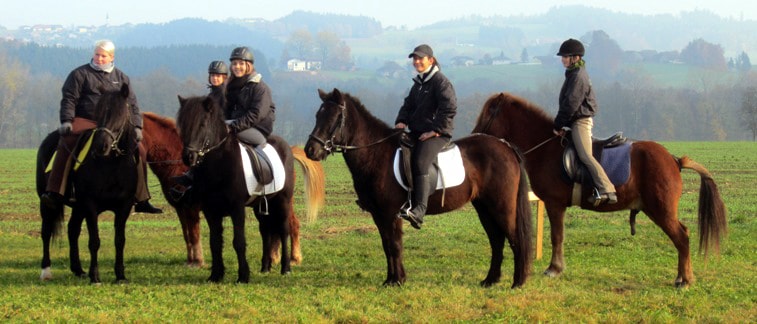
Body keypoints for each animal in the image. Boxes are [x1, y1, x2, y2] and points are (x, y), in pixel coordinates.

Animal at [36, 84, 139, 284]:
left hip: (78, 207)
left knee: (72, 230)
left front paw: (120, 275)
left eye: (120, 114)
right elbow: (94, 241)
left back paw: (78, 270)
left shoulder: (124, 206)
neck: (111, 165)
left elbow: (119, 240)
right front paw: (95, 276)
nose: (101, 146)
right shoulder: (91, 205)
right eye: (99, 112)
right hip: (47, 203)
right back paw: (46, 271)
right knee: (46, 231)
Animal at [176, 95, 302, 282]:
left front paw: (243, 275)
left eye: (202, 124)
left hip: (283, 201)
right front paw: (216, 275)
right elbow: (215, 242)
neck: (218, 165)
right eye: (182, 124)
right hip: (261, 205)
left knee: (283, 230)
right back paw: (265, 267)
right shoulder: (210, 210)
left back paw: (285, 267)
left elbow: (239, 241)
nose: (188, 156)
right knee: (265, 231)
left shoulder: (237, 209)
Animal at [304, 88, 536, 288]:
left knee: (514, 239)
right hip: (484, 207)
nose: (310, 150)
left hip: (502, 207)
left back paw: (517, 283)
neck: (376, 154)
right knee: (497, 241)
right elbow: (386, 245)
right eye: (317, 115)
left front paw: (397, 280)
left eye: (335, 118)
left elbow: (395, 245)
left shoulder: (391, 213)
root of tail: (505, 146)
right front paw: (390, 279)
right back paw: (490, 280)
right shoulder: (379, 215)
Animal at [472, 92, 728, 288]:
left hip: (661, 211)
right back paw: (683, 277)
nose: (474, 135)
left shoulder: (555, 205)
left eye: (489, 113)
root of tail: (674, 160)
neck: (546, 149)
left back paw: (684, 280)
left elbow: (557, 236)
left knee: (682, 238)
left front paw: (554, 268)